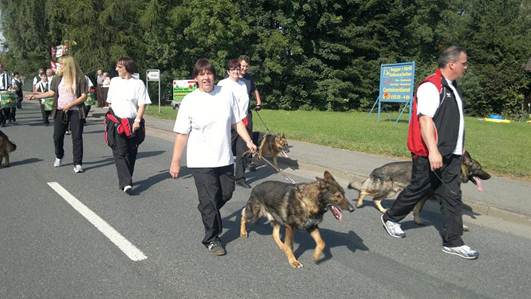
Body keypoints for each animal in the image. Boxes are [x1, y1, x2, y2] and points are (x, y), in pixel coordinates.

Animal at [350, 152, 490, 225]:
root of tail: (377, 169)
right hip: (385, 189)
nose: (489, 176)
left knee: (376, 199)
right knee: (364, 191)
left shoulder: (424, 197)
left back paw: (383, 210)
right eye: (479, 168)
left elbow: (418, 210)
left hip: (391, 191)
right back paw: (360, 202)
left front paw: (417, 220)